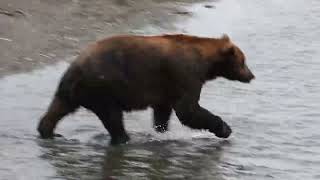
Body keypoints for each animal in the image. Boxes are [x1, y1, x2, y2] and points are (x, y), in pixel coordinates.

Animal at [37, 34, 255, 145]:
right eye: (243, 61)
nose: (251, 75)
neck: (206, 63)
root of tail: (75, 67)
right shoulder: (185, 74)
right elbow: (188, 110)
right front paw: (224, 128)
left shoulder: (166, 86)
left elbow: (163, 110)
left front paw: (161, 131)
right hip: (103, 88)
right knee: (112, 117)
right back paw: (124, 139)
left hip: (74, 91)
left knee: (57, 108)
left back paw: (47, 132)